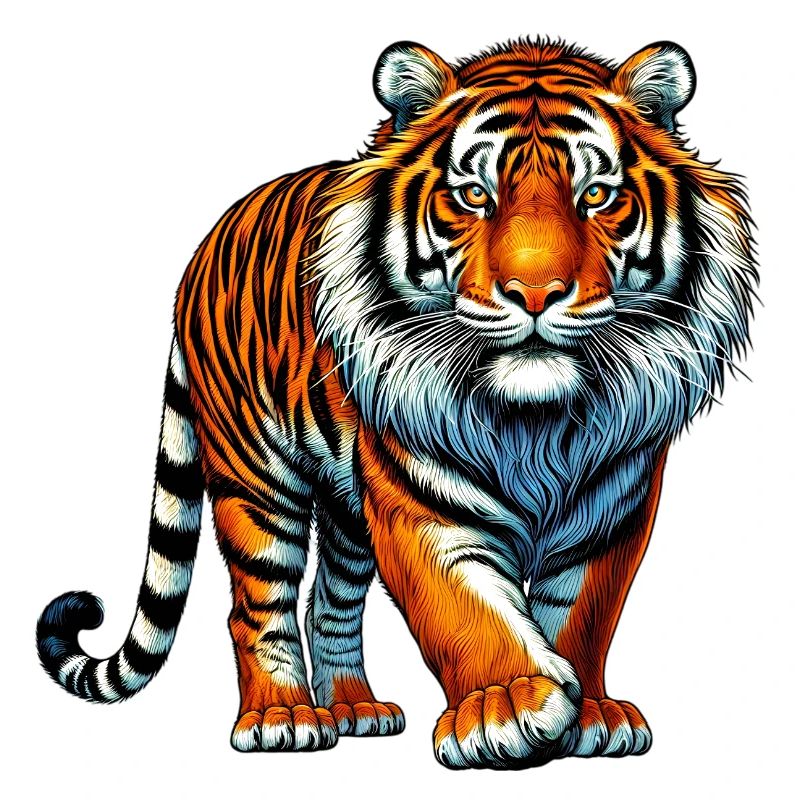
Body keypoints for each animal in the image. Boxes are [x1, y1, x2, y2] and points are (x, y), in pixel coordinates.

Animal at [36, 37, 757, 770]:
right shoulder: (423, 506)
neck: (538, 419)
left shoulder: (614, 504)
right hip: (255, 477)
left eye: (597, 196)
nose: (535, 293)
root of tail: (206, 246)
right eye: (473, 195)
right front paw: (507, 706)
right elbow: (466, 609)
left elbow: (581, 613)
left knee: (329, 602)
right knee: (257, 605)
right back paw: (281, 717)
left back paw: (356, 709)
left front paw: (590, 716)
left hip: (349, 514)